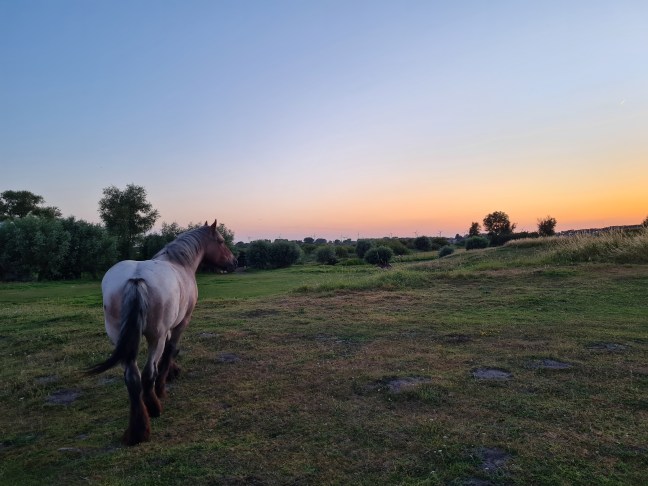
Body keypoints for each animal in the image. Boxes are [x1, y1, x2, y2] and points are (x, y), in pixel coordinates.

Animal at [87, 220, 237, 445]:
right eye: (220, 241)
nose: (234, 262)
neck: (180, 264)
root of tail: (136, 278)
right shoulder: (180, 323)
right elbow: (170, 351)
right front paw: (164, 384)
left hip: (120, 341)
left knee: (132, 378)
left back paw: (136, 431)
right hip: (153, 338)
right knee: (147, 373)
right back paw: (153, 408)